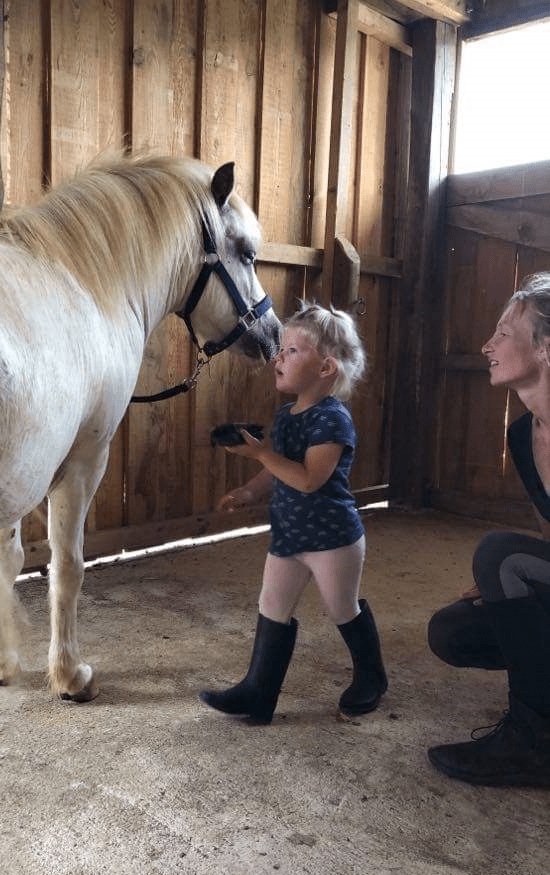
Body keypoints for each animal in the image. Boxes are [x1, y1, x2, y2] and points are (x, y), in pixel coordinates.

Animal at [0, 149, 280, 700]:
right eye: (246, 253)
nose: (273, 334)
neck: (83, 284)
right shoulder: (82, 460)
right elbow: (67, 565)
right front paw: (70, 675)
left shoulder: (22, 475)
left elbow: (10, 563)